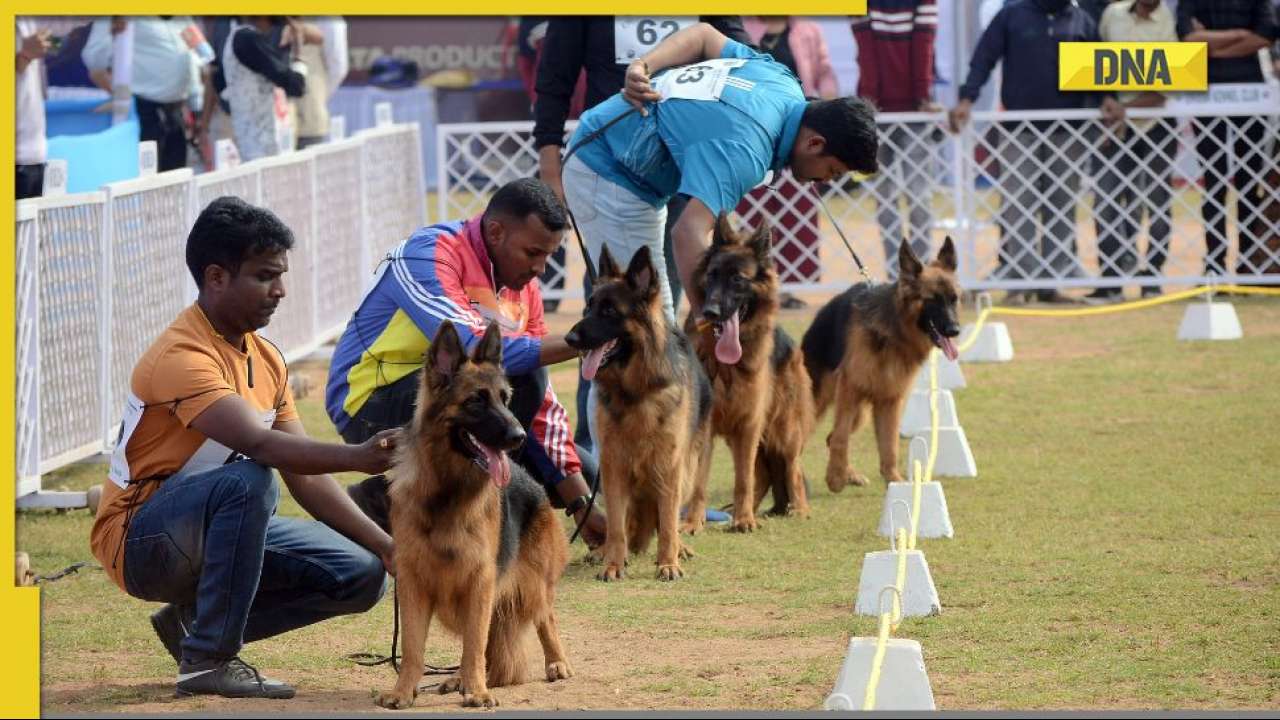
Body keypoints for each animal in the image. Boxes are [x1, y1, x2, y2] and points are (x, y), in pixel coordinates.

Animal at [376, 319, 573, 707]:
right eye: (475, 402)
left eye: (505, 399)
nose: (520, 436)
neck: (446, 491)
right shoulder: (412, 582)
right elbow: (412, 647)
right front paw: (403, 691)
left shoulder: (480, 582)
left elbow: (474, 644)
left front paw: (477, 691)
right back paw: (459, 680)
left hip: (532, 583)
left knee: (546, 618)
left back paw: (554, 663)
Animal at [565, 243, 716, 579]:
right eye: (588, 307)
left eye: (609, 311)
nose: (569, 340)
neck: (634, 392)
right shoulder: (613, 464)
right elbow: (617, 525)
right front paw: (613, 564)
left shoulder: (669, 466)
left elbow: (669, 522)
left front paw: (668, 562)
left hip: (687, 470)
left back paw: (678, 549)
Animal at [686, 215, 814, 530]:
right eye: (712, 276)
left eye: (737, 279)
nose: (710, 311)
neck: (729, 365)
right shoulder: (708, 427)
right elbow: (698, 482)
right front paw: (693, 523)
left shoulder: (749, 424)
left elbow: (743, 479)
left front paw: (744, 521)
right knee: (764, 475)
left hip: (784, 431)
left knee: (791, 469)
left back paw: (797, 508)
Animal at [798, 238, 962, 489]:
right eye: (933, 299)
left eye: (954, 299)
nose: (955, 330)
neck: (894, 331)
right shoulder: (850, 390)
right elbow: (842, 438)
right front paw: (835, 478)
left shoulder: (890, 400)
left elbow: (889, 445)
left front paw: (894, 480)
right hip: (817, 405)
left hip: (860, 413)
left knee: (830, 436)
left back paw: (849, 474)